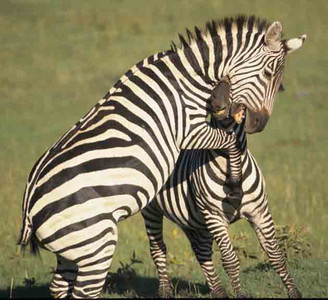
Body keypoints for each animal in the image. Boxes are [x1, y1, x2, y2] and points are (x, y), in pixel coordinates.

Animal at [17, 15, 304, 298]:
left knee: (59, 285)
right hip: (97, 243)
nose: (259, 124)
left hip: (73, 250)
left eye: (280, 86)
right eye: (268, 74)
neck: (189, 78)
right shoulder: (191, 131)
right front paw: (233, 179)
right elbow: (230, 142)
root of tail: (29, 210)